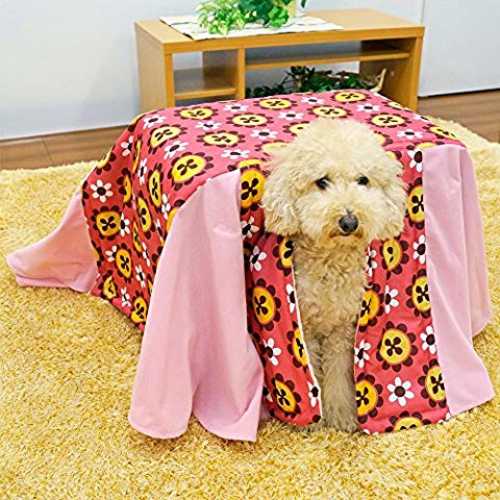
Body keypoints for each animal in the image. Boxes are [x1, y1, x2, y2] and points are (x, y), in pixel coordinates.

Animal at [262, 118, 406, 431]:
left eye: (363, 180)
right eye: (322, 181)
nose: (349, 221)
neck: (331, 263)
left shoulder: (343, 329)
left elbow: (339, 373)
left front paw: (341, 414)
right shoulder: (305, 327)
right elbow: (313, 372)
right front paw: (315, 419)